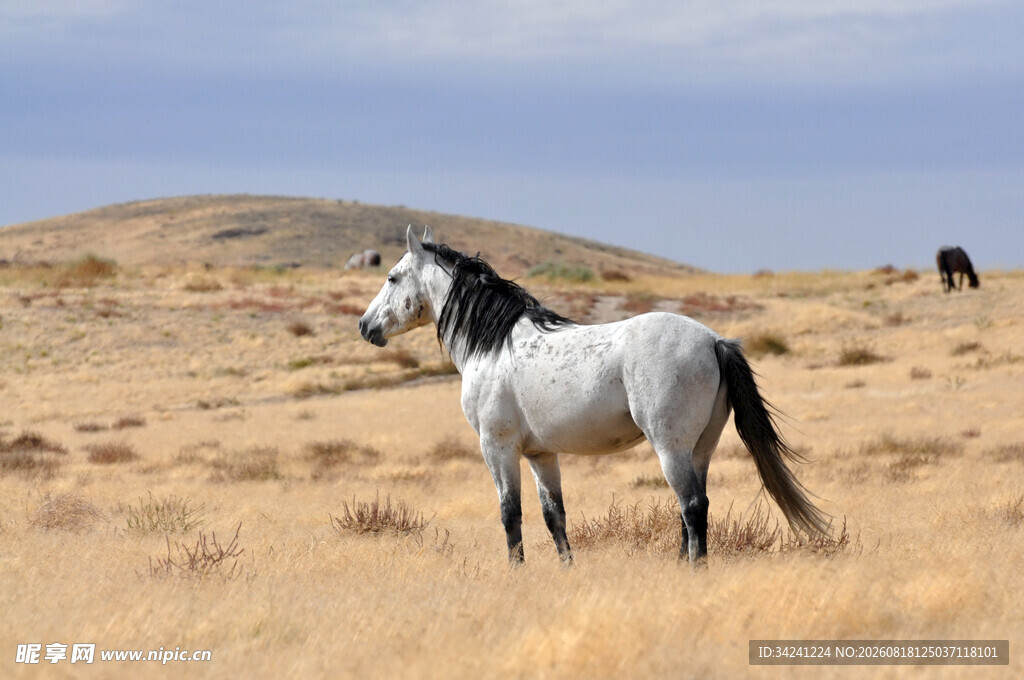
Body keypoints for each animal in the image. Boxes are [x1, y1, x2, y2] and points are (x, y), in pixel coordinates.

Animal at [359, 226, 829, 566]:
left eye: (391, 277)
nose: (365, 326)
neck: (493, 344)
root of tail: (714, 340)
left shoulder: (498, 448)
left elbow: (511, 514)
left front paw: (516, 572)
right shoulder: (541, 454)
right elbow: (554, 516)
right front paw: (567, 569)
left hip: (671, 448)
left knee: (692, 505)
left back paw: (694, 570)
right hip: (700, 449)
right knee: (692, 508)